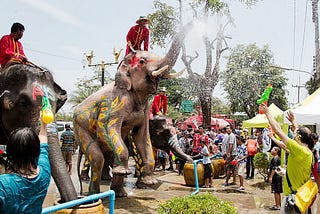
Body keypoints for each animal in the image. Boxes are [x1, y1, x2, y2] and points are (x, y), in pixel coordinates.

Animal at [73, 22, 192, 197]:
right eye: (142, 61)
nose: (192, 22)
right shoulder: (115, 102)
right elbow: (107, 128)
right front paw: (134, 178)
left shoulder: (145, 112)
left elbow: (142, 137)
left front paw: (149, 182)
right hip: (80, 128)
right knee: (97, 158)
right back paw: (94, 193)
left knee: (106, 155)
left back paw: (118, 192)